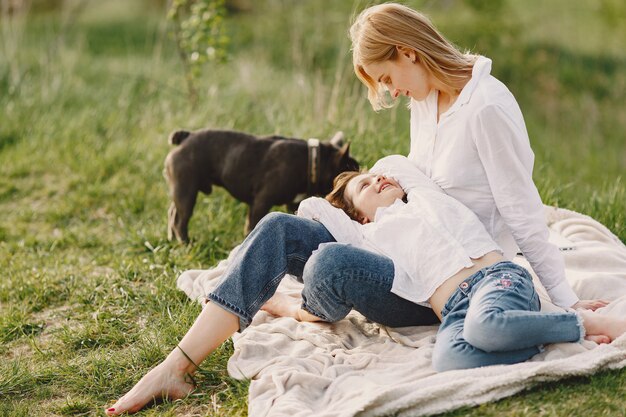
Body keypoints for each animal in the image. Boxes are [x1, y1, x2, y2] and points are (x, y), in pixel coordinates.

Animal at [162, 128, 356, 242]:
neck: (312, 161)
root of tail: (186, 137)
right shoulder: (261, 202)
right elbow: (252, 225)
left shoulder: (292, 203)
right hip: (187, 191)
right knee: (181, 220)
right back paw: (186, 243)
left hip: (181, 190)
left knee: (172, 212)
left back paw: (172, 239)